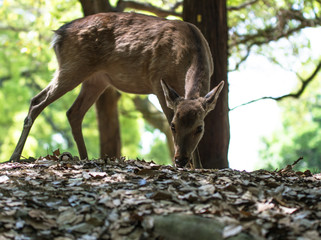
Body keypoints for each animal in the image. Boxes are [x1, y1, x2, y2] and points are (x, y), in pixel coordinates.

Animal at [10, 11, 225, 169]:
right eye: (173, 126)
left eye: (200, 128)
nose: (180, 160)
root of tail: (57, 35)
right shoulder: (157, 81)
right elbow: (166, 114)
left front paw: (199, 168)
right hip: (72, 66)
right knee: (37, 101)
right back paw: (14, 157)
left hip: (96, 79)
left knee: (73, 112)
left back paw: (84, 157)